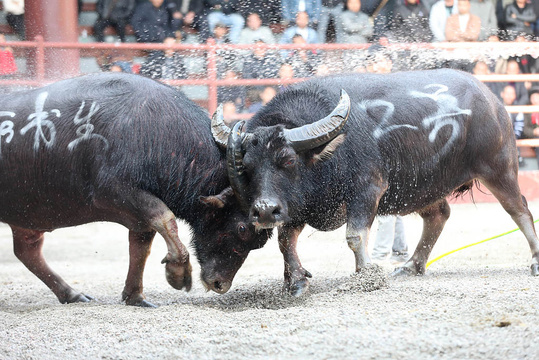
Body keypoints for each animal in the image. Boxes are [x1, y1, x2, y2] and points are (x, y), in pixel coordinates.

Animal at [0, 74, 270, 306]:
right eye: (243, 228)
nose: (219, 284)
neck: (155, 133)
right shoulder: (114, 194)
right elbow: (165, 218)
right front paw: (178, 273)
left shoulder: (136, 215)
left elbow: (141, 247)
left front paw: (135, 297)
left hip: (28, 218)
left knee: (27, 252)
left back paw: (72, 294)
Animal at [212, 69, 539, 296]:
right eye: (247, 167)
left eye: (289, 160)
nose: (265, 210)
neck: (331, 152)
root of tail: (492, 100)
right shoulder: (297, 205)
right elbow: (284, 241)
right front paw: (297, 281)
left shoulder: (367, 190)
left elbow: (355, 236)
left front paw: (366, 274)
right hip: (423, 186)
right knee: (439, 215)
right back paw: (411, 266)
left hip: (500, 169)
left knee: (520, 210)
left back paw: (535, 261)